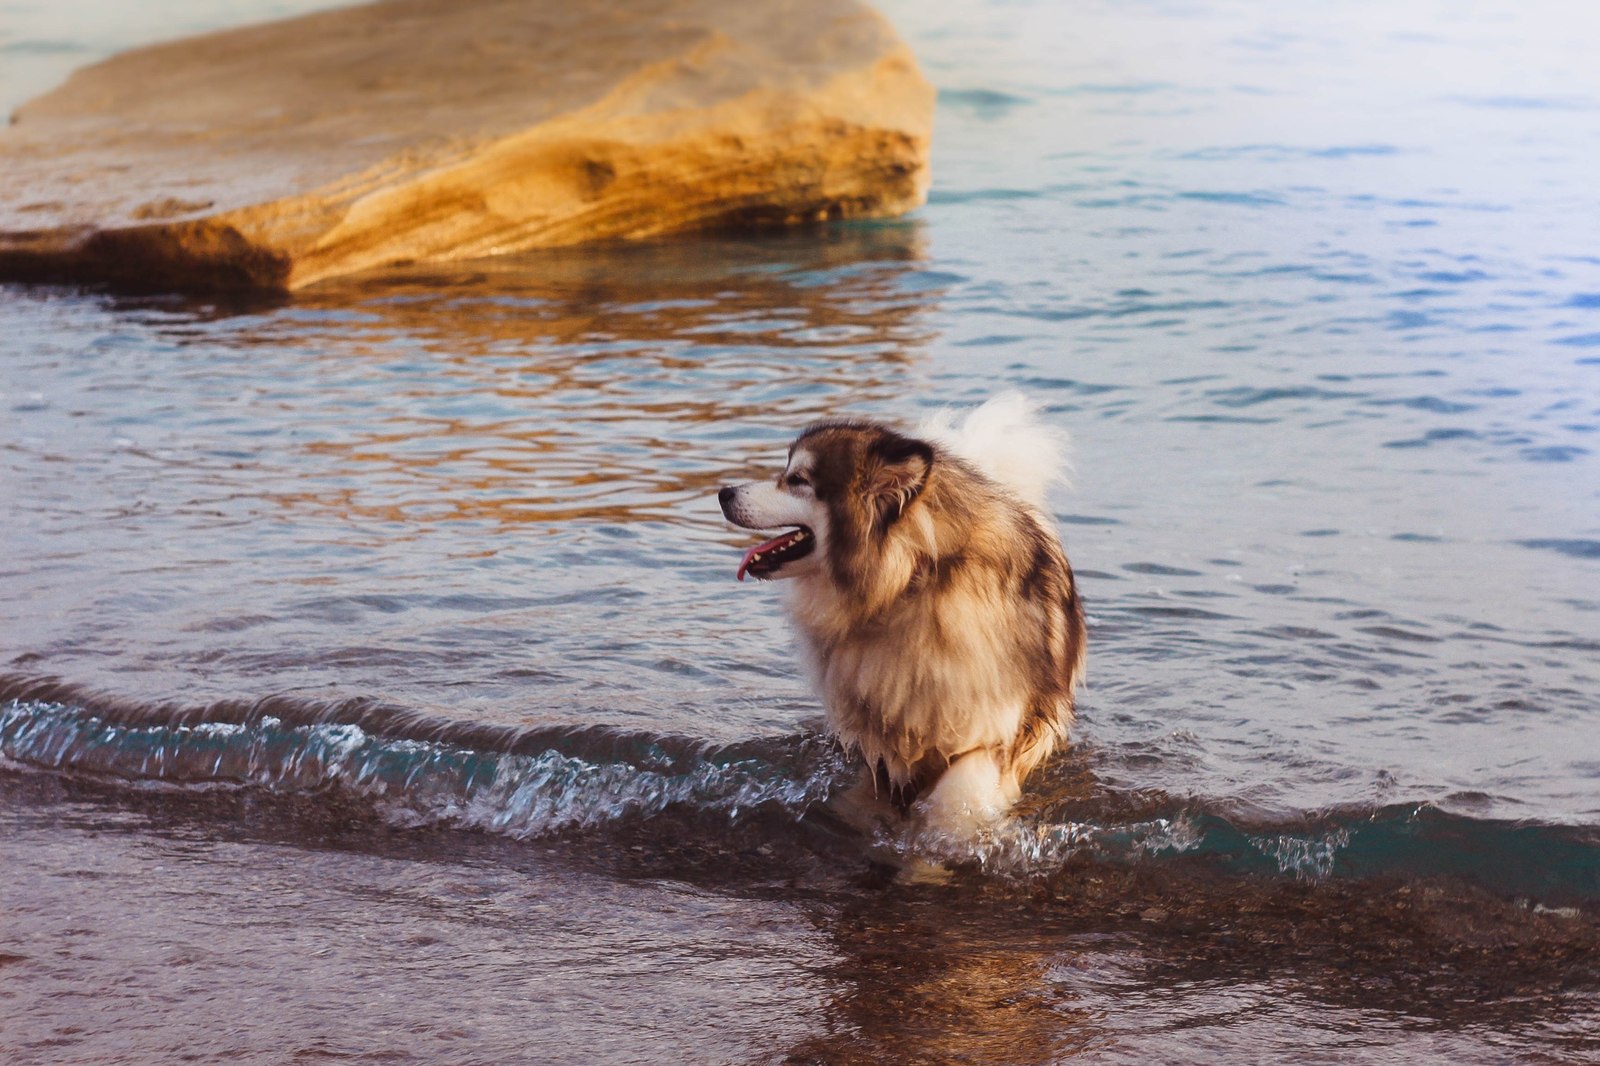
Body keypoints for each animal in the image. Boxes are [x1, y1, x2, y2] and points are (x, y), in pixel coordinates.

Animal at [723, 392, 1088, 838]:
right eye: (789, 473)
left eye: (798, 480)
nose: (723, 492)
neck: (909, 587)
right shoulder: (881, 740)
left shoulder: (991, 734)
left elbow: (955, 799)